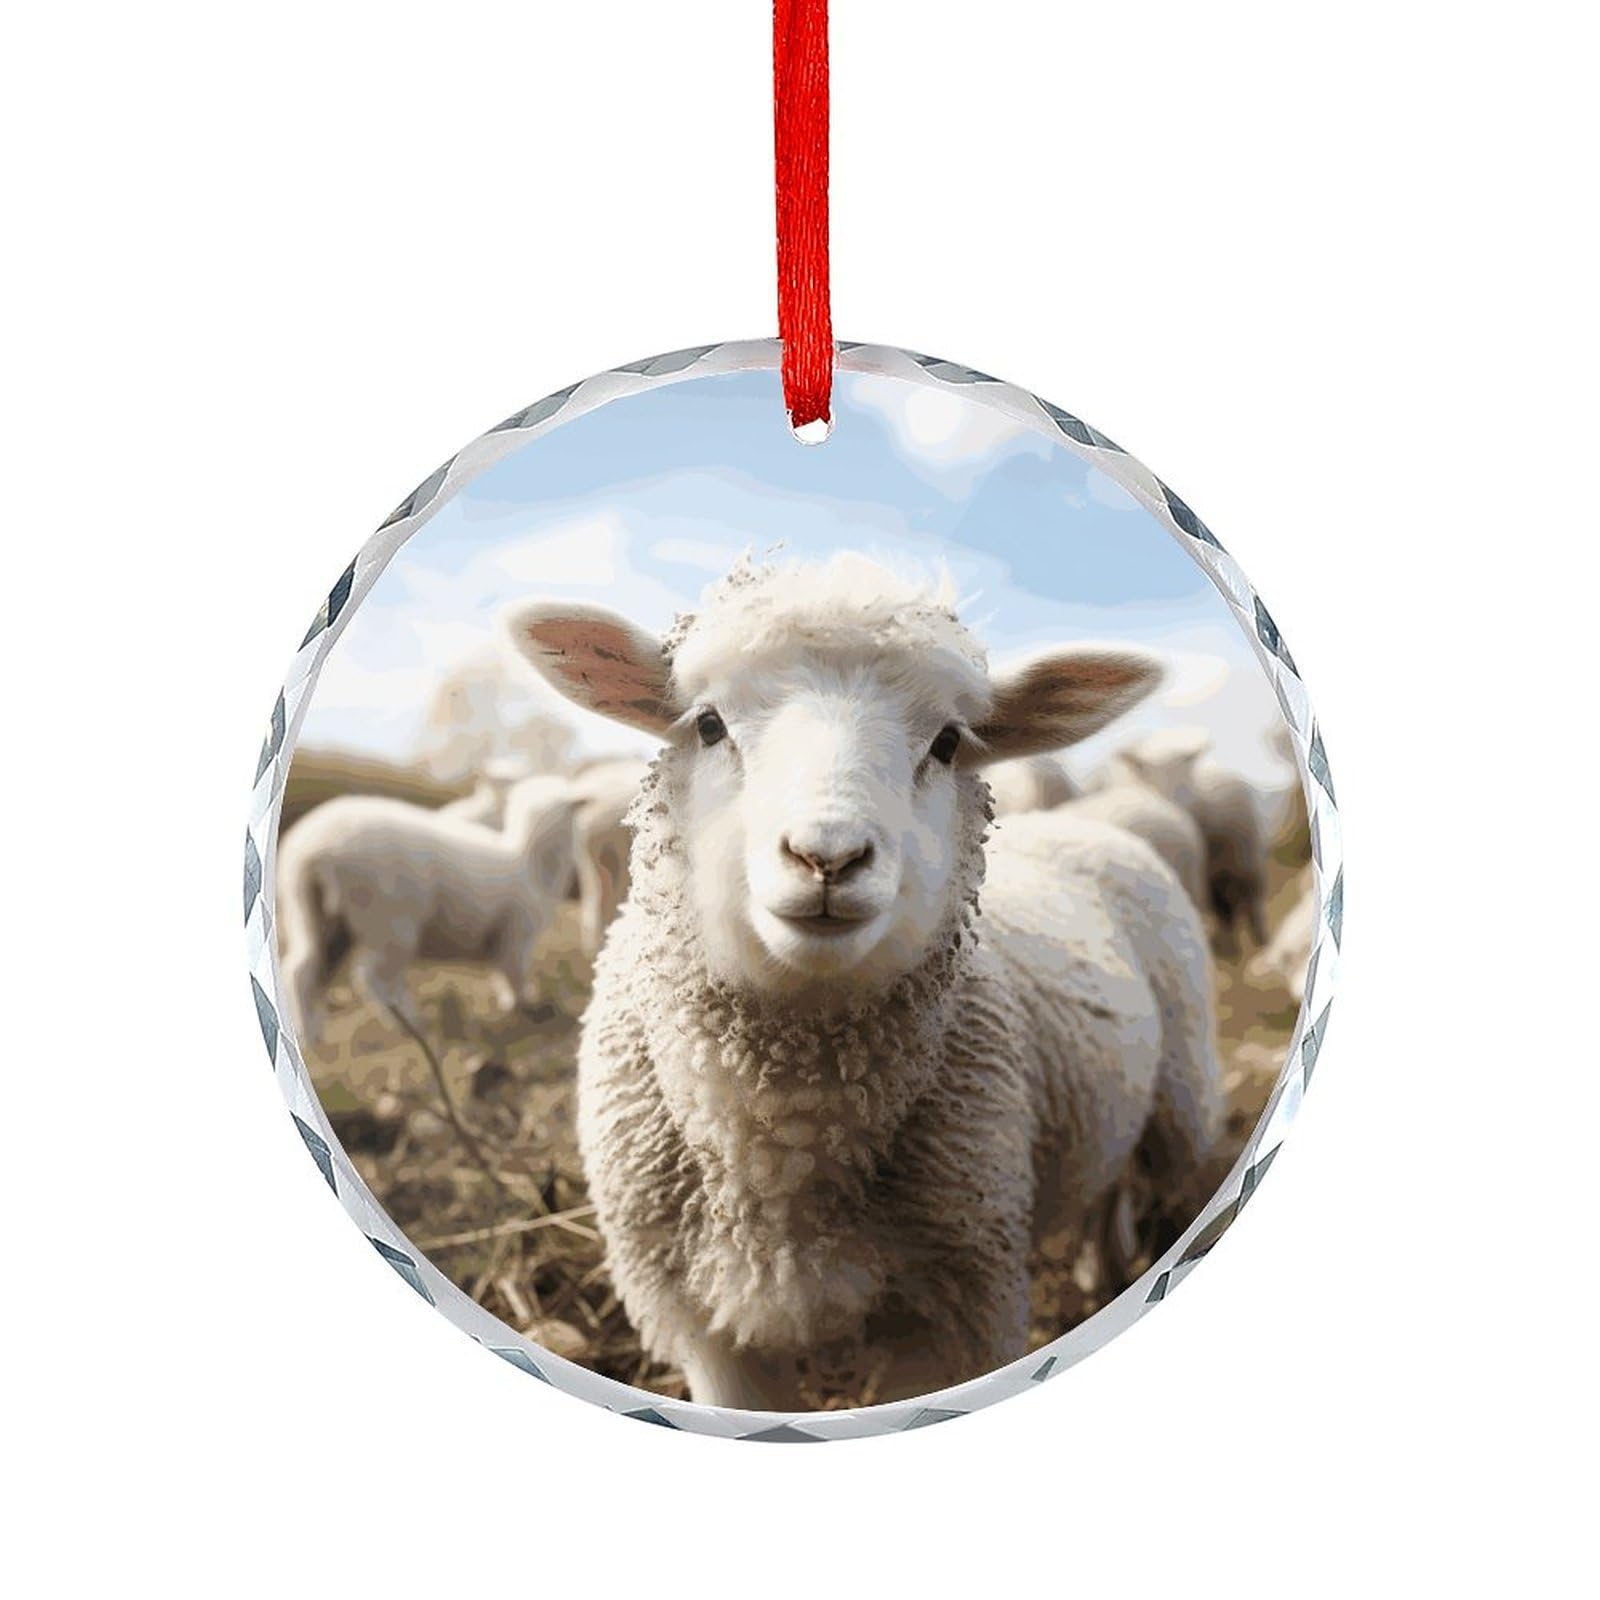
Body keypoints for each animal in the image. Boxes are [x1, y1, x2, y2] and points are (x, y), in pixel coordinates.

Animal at [277, 775, 579, 1046]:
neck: (530, 859)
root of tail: (312, 852)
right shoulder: (517, 931)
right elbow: (513, 971)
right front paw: (524, 1005)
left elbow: (502, 971)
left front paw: (512, 1003)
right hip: (388, 918)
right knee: (372, 978)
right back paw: (410, 1024)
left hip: (317, 916)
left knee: (302, 970)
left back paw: (308, 1035)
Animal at [507, 554, 1222, 1411]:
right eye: (709, 724)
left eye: (947, 742)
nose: (829, 857)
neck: (784, 1147)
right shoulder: (704, 1324)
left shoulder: (957, 1299)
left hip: (1182, 1100)